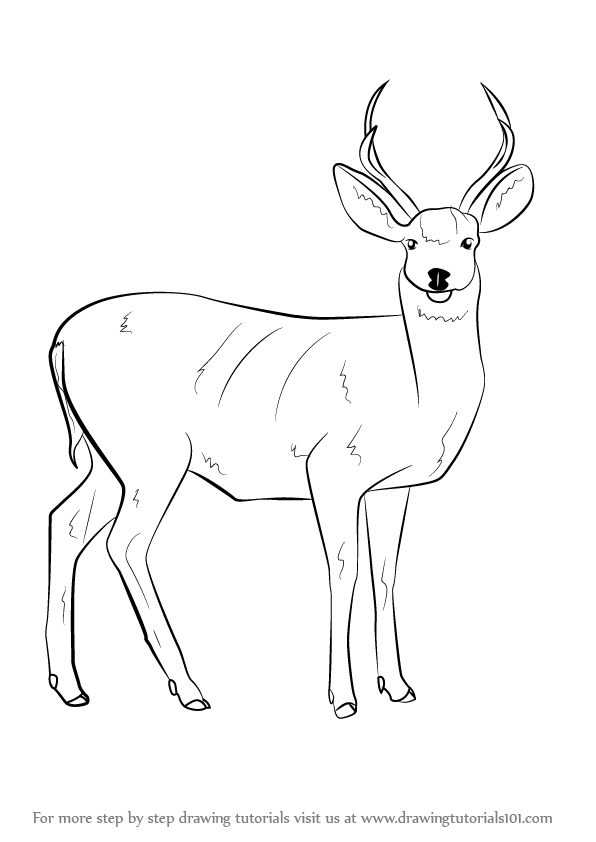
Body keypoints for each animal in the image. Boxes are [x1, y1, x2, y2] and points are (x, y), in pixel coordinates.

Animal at [46, 82, 533, 719]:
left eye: (470, 238)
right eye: (408, 239)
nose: (437, 274)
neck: (415, 389)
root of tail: (60, 337)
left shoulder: (392, 488)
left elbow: (385, 574)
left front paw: (398, 685)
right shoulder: (331, 472)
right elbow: (343, 571)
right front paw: (344, 698)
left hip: (110, 461)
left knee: (66, 522)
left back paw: (71, 685)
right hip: (153, 458)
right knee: (126, 544)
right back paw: (190, 688)